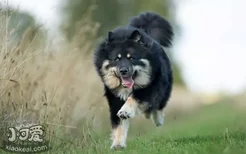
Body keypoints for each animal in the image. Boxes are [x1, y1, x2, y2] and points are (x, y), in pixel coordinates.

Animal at [93, 11, 174, 149]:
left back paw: (157, 119)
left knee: (159, 104)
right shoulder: (115, 98)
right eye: (117, 59)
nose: (123, 71)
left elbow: (135, 97)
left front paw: (126, 111)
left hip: (164, 87)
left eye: (131, 58)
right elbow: (118, 123)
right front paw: (118, 144)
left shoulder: (150, 86)